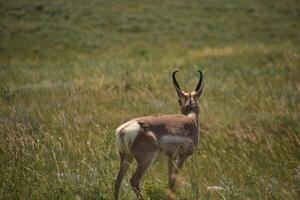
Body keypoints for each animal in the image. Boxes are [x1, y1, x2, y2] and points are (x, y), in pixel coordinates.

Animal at [115, 70, 204, 198]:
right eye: (179, 100)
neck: (191, 121)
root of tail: (123, 129)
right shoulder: (182, 157)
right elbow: (172, 182)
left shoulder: (170, 159)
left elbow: (170, 181)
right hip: (145, 160)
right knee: (134, 180)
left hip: (126, 157)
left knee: (118, 181)